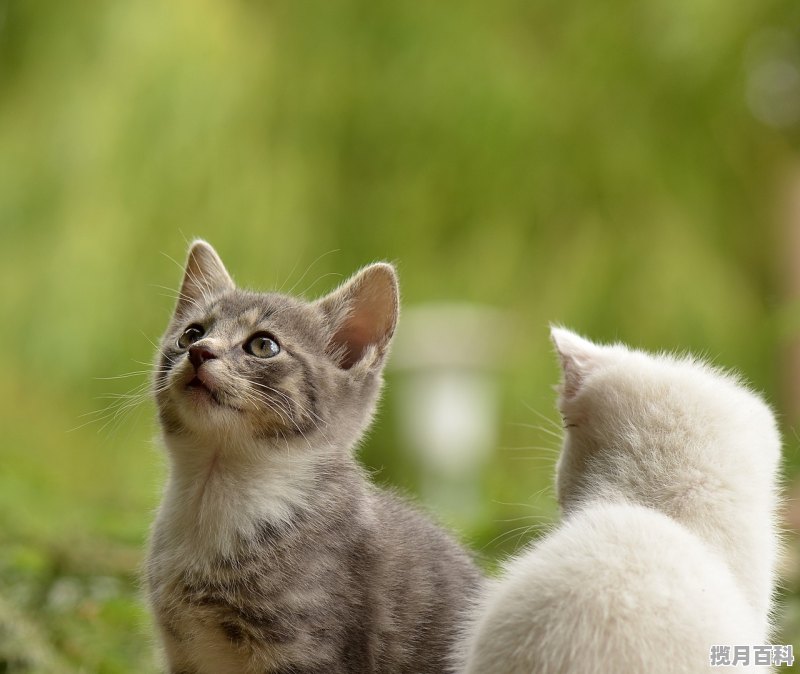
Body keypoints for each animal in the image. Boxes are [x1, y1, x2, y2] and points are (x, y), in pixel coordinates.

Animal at [145, 242, 482, 672]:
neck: (214, 492)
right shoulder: (184, 654)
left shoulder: (309, 650)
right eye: (192, 333)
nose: (199, 352)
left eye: (263, 345)